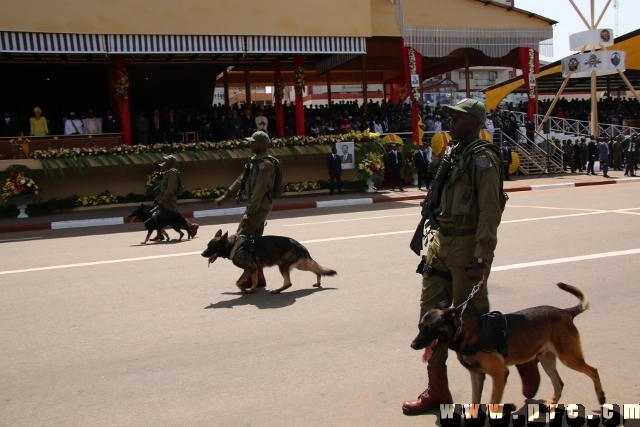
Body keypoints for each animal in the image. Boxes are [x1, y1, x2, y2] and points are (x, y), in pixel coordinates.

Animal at [202, 231, 338, 294]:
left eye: (211, 247)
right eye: (207, 246)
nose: (202, 254)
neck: (233, 245)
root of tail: (301, 246)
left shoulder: (249, 268)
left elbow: (238, 282)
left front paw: (243, 290)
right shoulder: (254, 269)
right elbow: (255, 281)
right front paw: (251, 290)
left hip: (283, 266)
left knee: (288, 283)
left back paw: (277, 291)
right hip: (301, 265)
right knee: (317, 271)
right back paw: (318, 282)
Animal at [410, 282, 604, 406]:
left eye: (429, 328)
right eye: (419, 327)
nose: (412, 344)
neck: (466, 332)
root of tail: (565, 312)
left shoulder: (500, 375)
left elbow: (492, 404)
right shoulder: (477, 376)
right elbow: (475, 402)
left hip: (569, 358)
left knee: (593, 370)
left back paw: (601, 397)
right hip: (547, 359)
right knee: (559, 383)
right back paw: (552, 403)